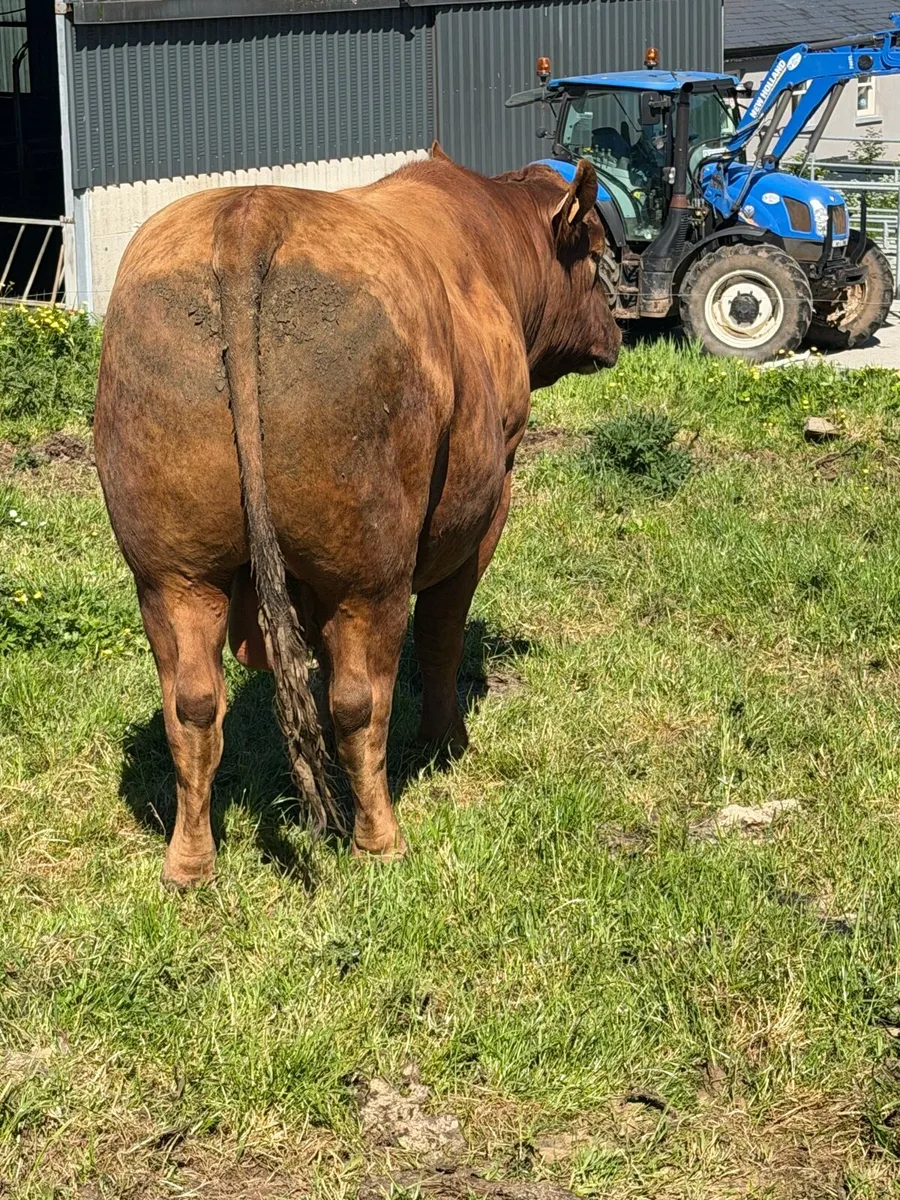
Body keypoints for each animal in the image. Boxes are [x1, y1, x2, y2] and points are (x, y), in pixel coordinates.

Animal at [94, 148, 621, 888]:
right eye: (600, 256)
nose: (618, 333)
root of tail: (248, 215)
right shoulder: (487, 504)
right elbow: (442, 632)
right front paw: (446, 740)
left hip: (171, 568)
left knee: (192, 704)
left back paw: (190, 863)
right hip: (369, 570)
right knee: (358, 700)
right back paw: (381, 841)